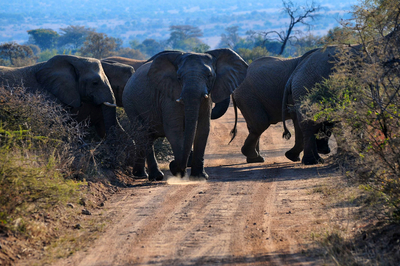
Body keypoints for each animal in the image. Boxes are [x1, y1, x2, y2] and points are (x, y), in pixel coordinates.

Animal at [122, 48, 247, 181]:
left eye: (209, 76)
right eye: (179, 77)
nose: (172, 165)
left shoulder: (206, 99)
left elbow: (203, 129)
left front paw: (199, 177)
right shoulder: (169, 95)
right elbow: (174, 130)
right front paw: (180, 174)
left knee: (145, 136)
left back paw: (141, 174)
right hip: (130, 104)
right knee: (144, 135)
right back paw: (156, 176)